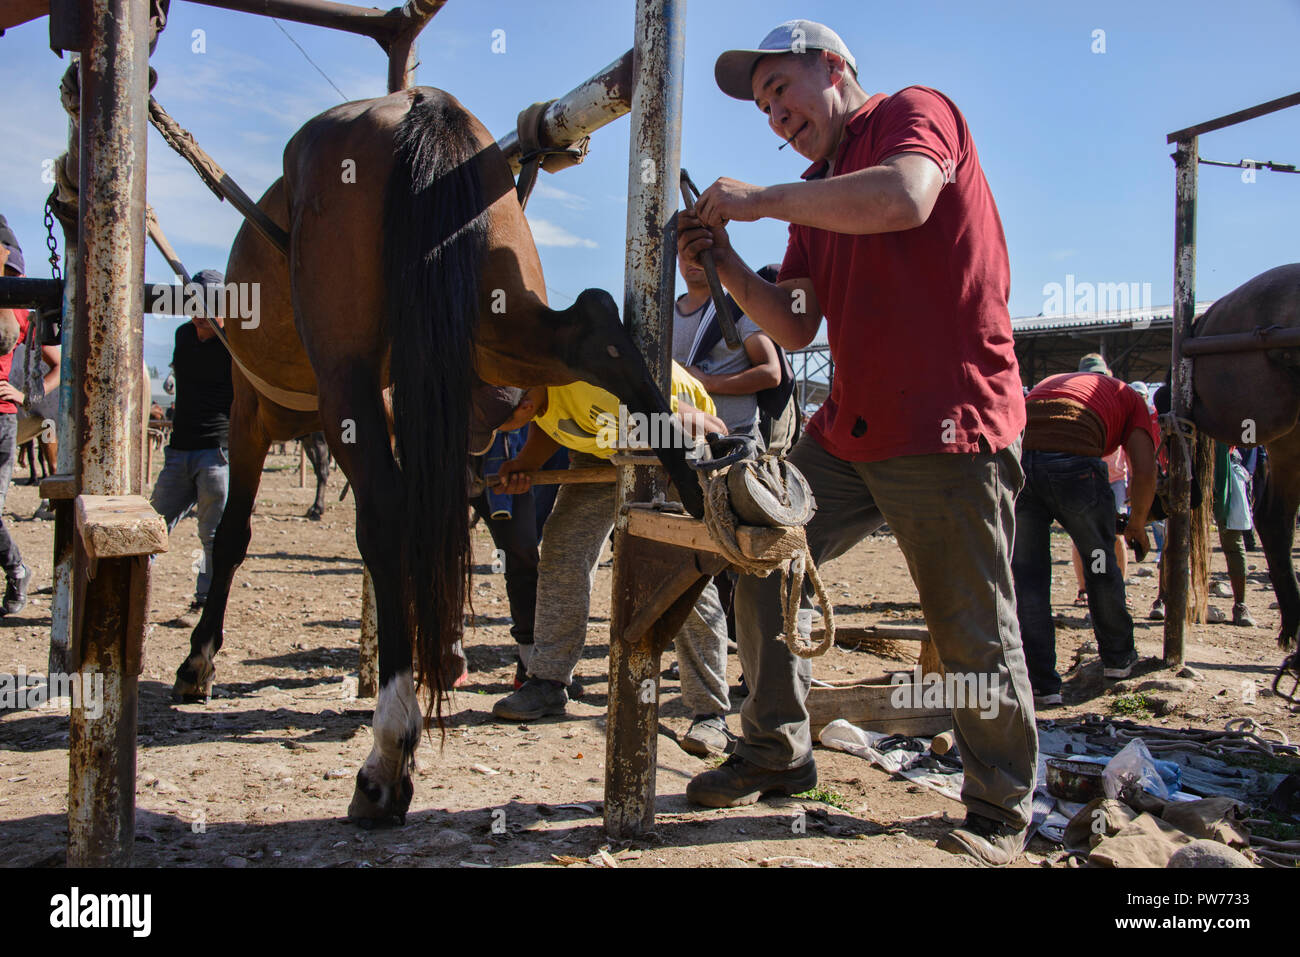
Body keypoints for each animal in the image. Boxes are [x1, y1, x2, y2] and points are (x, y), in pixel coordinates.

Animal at [171, 85, 702, 826]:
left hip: (350, 375)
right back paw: (688, 481)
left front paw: (197, 664)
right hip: (497, 327)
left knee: (386, 521)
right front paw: (447, 648)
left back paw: (388, 754)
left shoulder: (249, 417)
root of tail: (420, 103)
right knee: (593, 324)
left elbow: (231, 538)